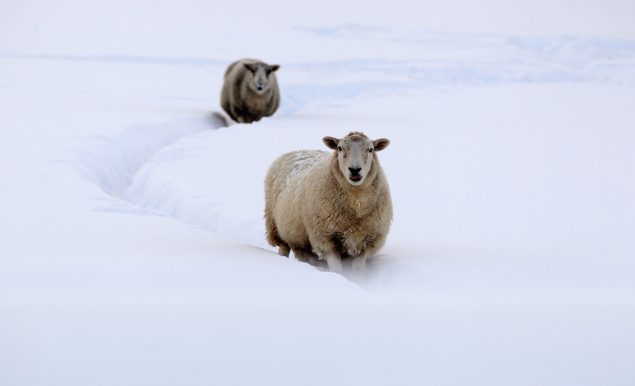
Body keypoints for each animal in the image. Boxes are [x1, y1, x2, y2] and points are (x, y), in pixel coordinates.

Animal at [264, 132, 392, 274]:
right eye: (340, 148)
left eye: (370, 149)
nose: (354, 170)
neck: (356, 201)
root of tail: (300, 150)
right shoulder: (326, 239)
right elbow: (337, 270)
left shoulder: (365, 243)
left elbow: (357, 271)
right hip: (275, 226)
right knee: (284, 248)